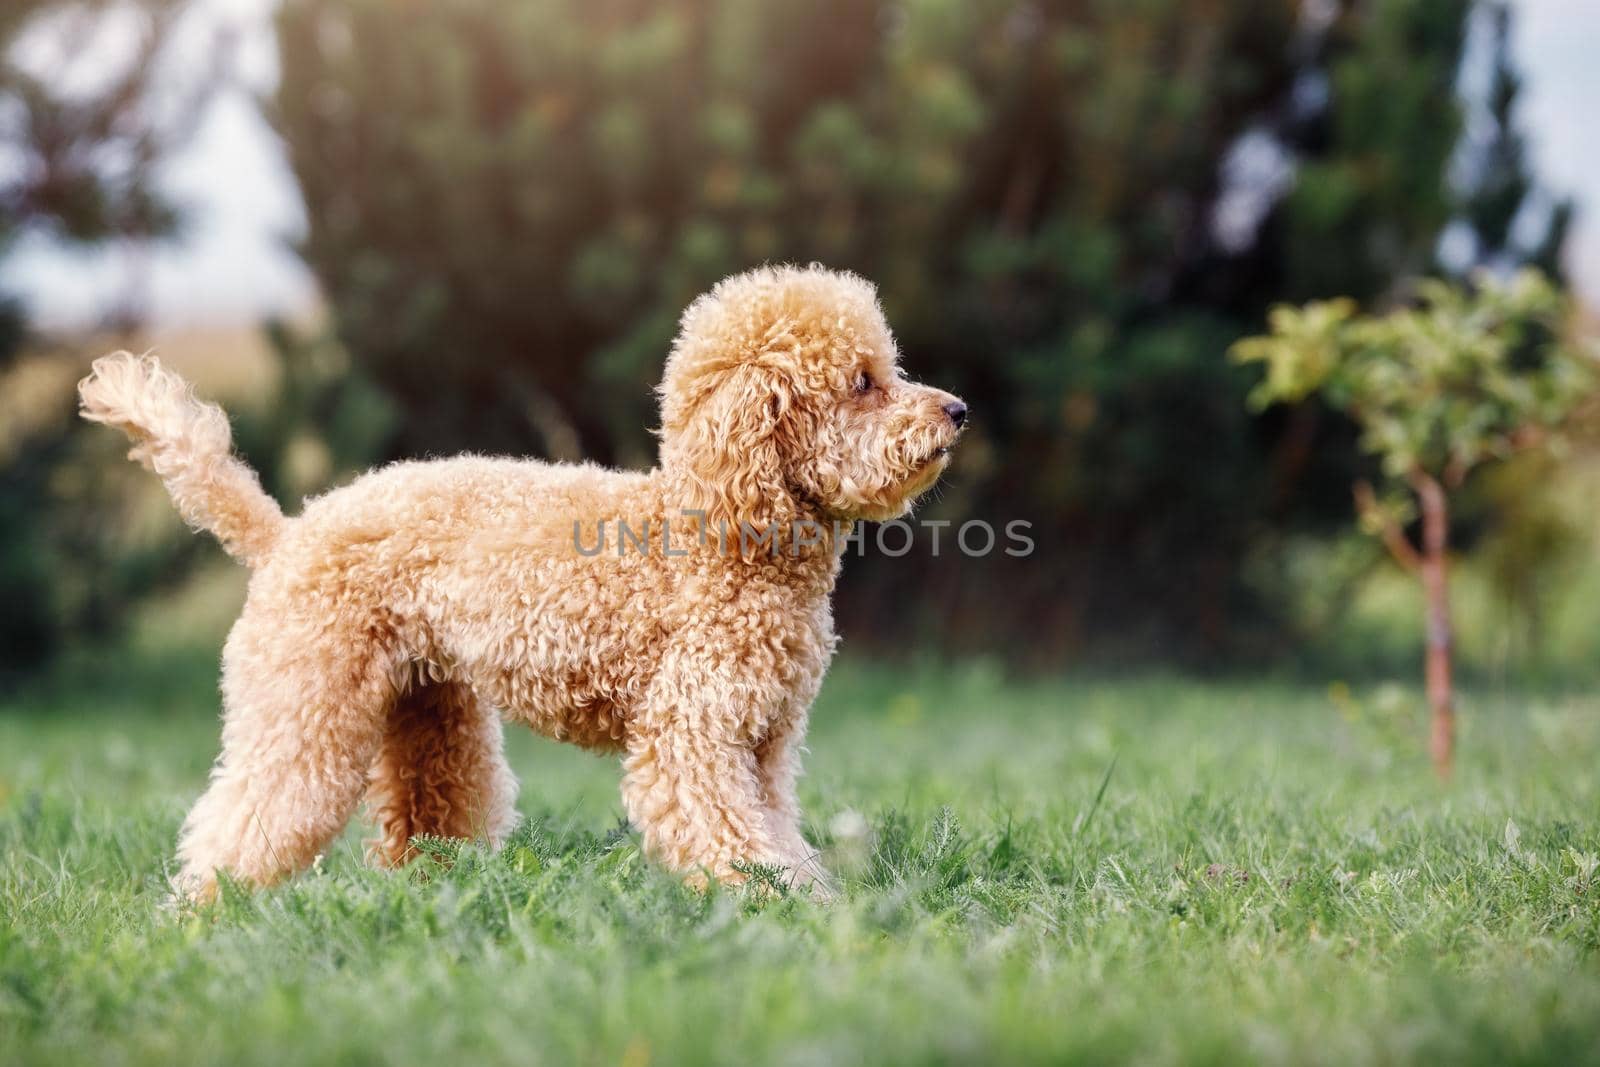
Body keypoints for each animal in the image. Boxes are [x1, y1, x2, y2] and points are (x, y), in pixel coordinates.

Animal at [78, 265, 960, 902]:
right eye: (863, 382)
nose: (956, 409)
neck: (721, 535)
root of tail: (286, 534)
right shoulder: (694, 735)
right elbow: (731, 838)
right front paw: (782, 910)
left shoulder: (765, 745)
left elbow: (776, 832)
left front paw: (809, 901)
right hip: (305, 703)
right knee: (248, 820)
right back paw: (199, 915)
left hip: (427, 710)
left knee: (423, 818)